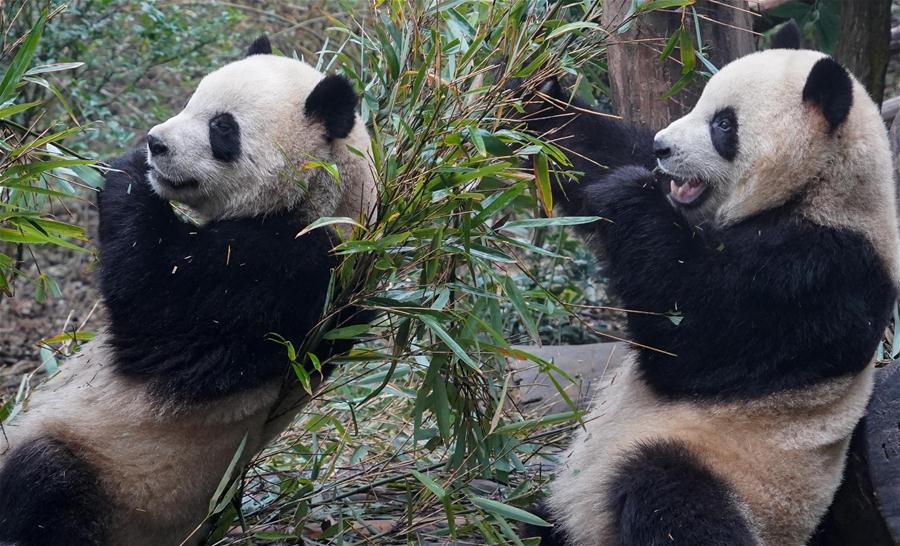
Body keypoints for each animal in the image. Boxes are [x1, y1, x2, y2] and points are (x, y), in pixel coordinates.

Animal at [0, 36, 376, 540]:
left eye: (222, 129)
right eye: (190, 101)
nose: (156, 143)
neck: (329, 197)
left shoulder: (284, 271)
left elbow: (153, 299)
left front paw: (125, 169)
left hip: (117, 477)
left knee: (44, 487)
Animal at [520, 33, 900, 544]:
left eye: (723, 124)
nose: (662, 147)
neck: (821, 186)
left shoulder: (824, 270)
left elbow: (696, 335)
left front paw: (628, 192)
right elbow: (596, 151)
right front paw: (531, 85)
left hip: (740, 478)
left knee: (670, 496)